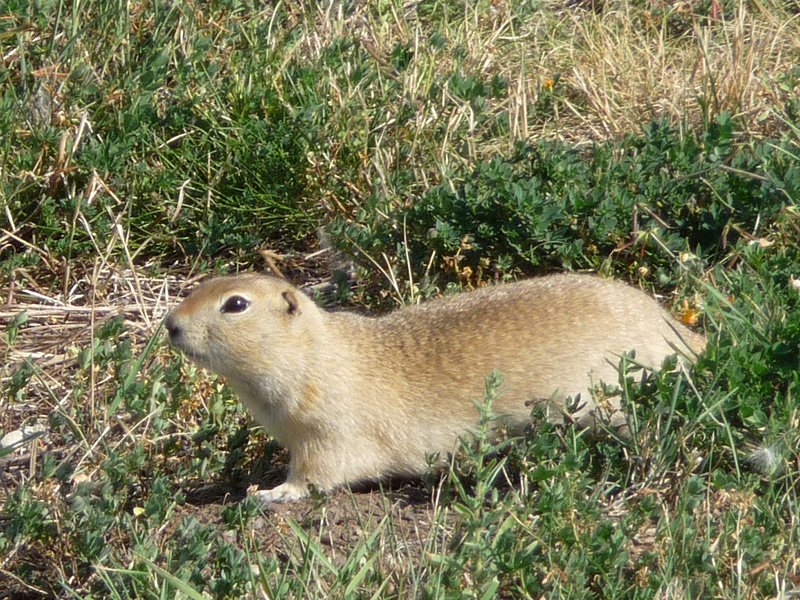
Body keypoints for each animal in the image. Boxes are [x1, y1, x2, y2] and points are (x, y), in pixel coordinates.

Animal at [165, 273, 705, 503]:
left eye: (236, 304)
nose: (170, 324)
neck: (317, 353)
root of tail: (679, 330)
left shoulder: (329, 431)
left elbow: (316, 474)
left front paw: (269, 492)